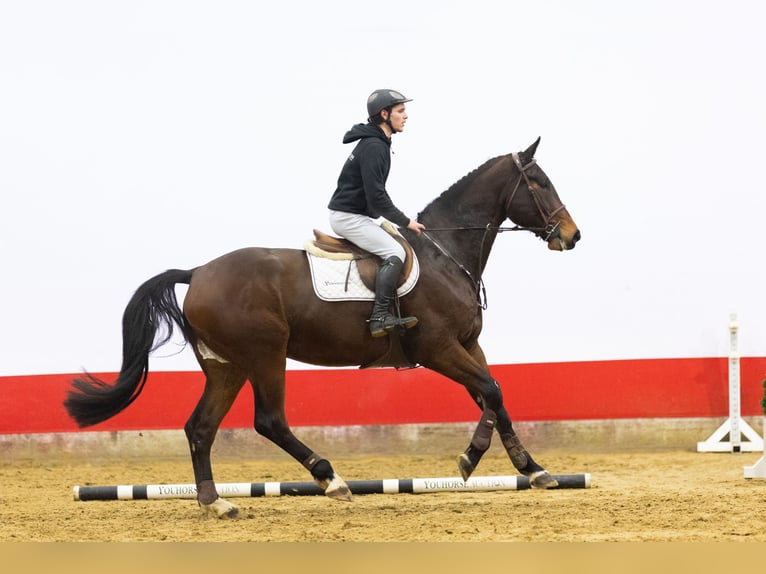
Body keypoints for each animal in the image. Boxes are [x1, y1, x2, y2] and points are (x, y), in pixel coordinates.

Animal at [64, 137, 581, 518]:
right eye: (539, 182)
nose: (573, 235)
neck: (444, 254)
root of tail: (198, 272)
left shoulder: (469, 345)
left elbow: (495, 395)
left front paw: (533, 469)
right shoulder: (438, 349)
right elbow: (490, 391)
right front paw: (471, 459)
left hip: (226, 366)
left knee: (200, 427)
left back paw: (216, 503)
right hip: (265, 355)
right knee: (269, 420)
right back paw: (330, 479)